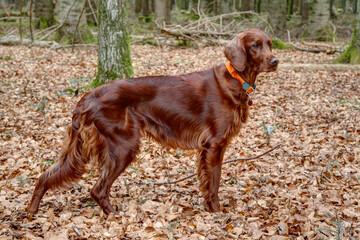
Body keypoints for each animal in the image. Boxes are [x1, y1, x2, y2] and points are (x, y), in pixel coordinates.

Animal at [28, 28, 278, 214]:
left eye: (269, 43)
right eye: (255, 45)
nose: (275, 61)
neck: (236, 79)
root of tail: (88, 97)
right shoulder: (214, 144)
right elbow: (214, 183)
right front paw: (216, 212)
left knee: (46, 176)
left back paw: (32, 210)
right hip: (123, 146)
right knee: (97, 189)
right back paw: (115, 216)